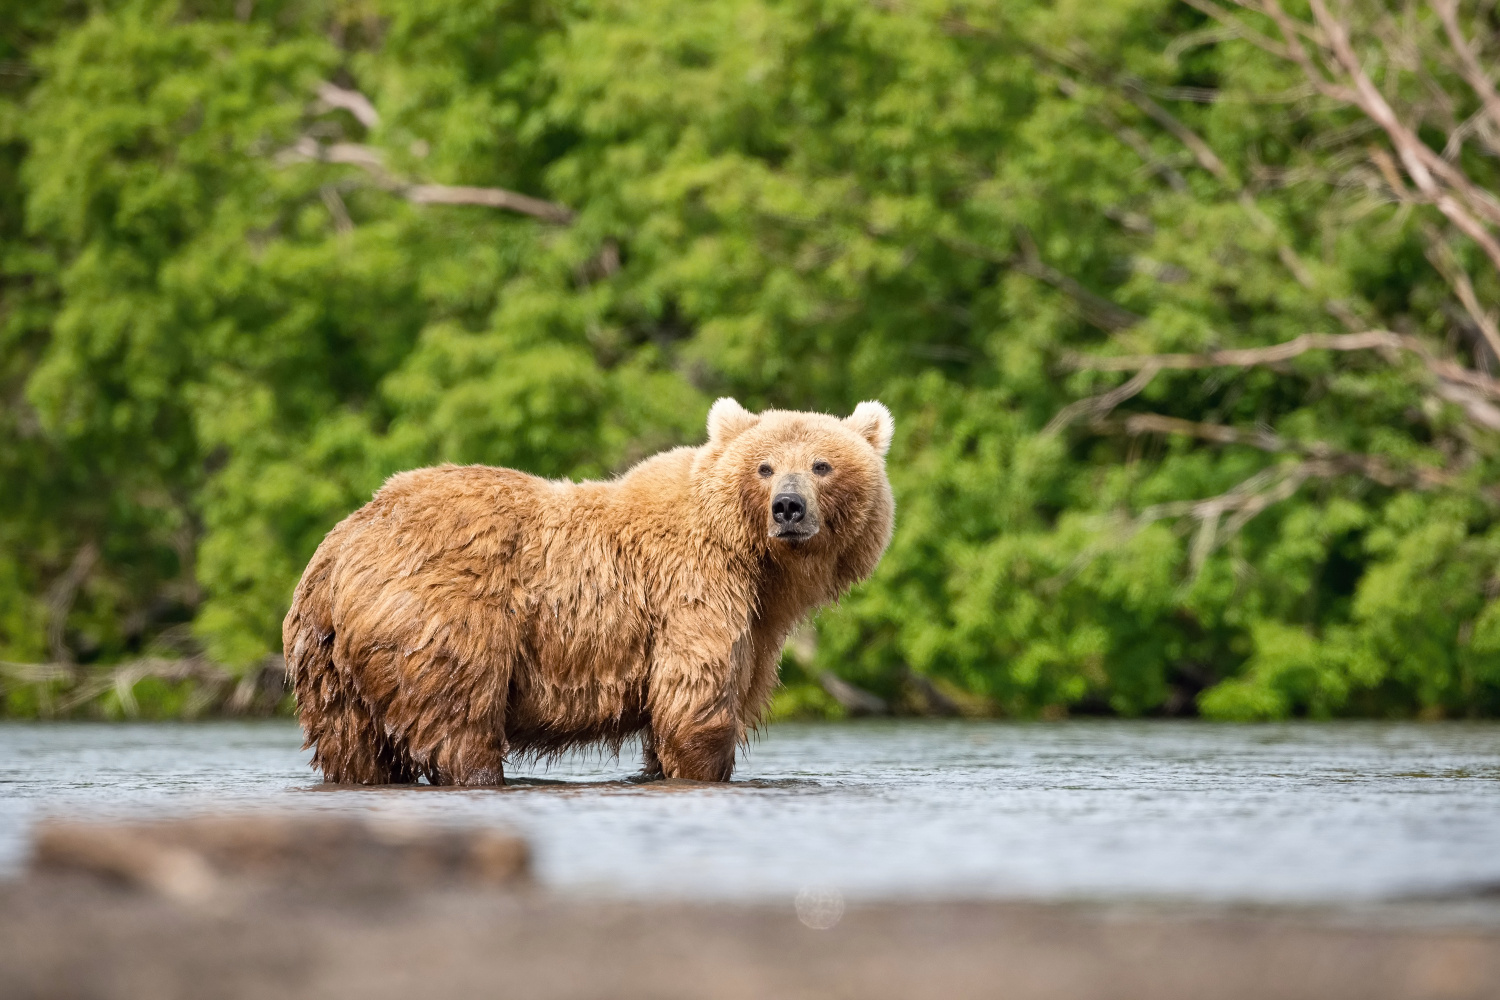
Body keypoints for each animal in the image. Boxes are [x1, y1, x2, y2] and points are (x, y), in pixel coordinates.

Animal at [279, 395, 888, 779]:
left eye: (821, 464)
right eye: (764, 467)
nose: (788, 507)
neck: (759, 564)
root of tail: (339, 548)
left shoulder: (756, 622)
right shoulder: (695, 593)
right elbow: (697, 704)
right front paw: (704, 766)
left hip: (327, 664)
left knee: (352, 746)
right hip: (437, 623)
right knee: (459, 723)